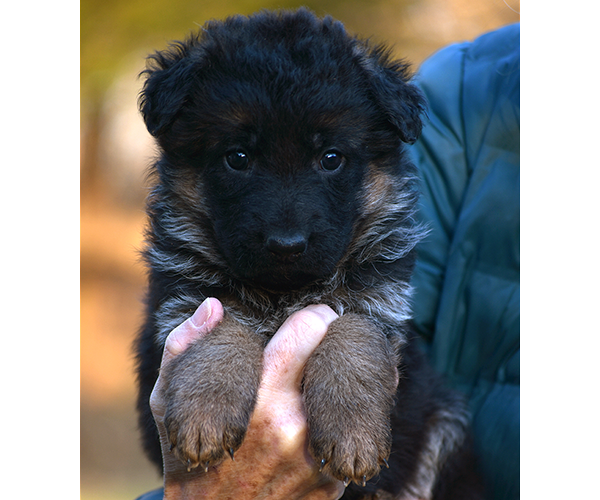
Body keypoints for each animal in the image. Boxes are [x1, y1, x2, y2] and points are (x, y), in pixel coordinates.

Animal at [136, 7, 482, 500]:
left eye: (331, 158)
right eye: (237, 157)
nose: (287, 245)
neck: (283, 292)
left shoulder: (381, 299)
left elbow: (355, 331)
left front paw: (353, 433)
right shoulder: (181, 300)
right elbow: (222, 324)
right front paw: (206, 410)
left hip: (444, 420)